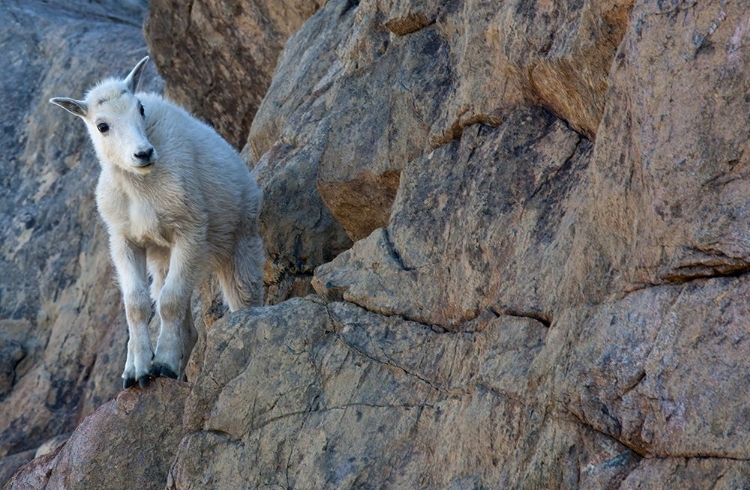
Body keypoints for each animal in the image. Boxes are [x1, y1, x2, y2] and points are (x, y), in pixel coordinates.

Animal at [50, 56, 268, 386]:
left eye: (140, 108)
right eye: (102, 126)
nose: (144, 153)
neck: (141, 187)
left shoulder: (191, 231)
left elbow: (170, 301)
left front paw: (163, 362)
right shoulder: (126, 241)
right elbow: (136, 305)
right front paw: (138, 371)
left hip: (239, 238)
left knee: (245, 295)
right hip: (164, 259)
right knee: (186, 324)